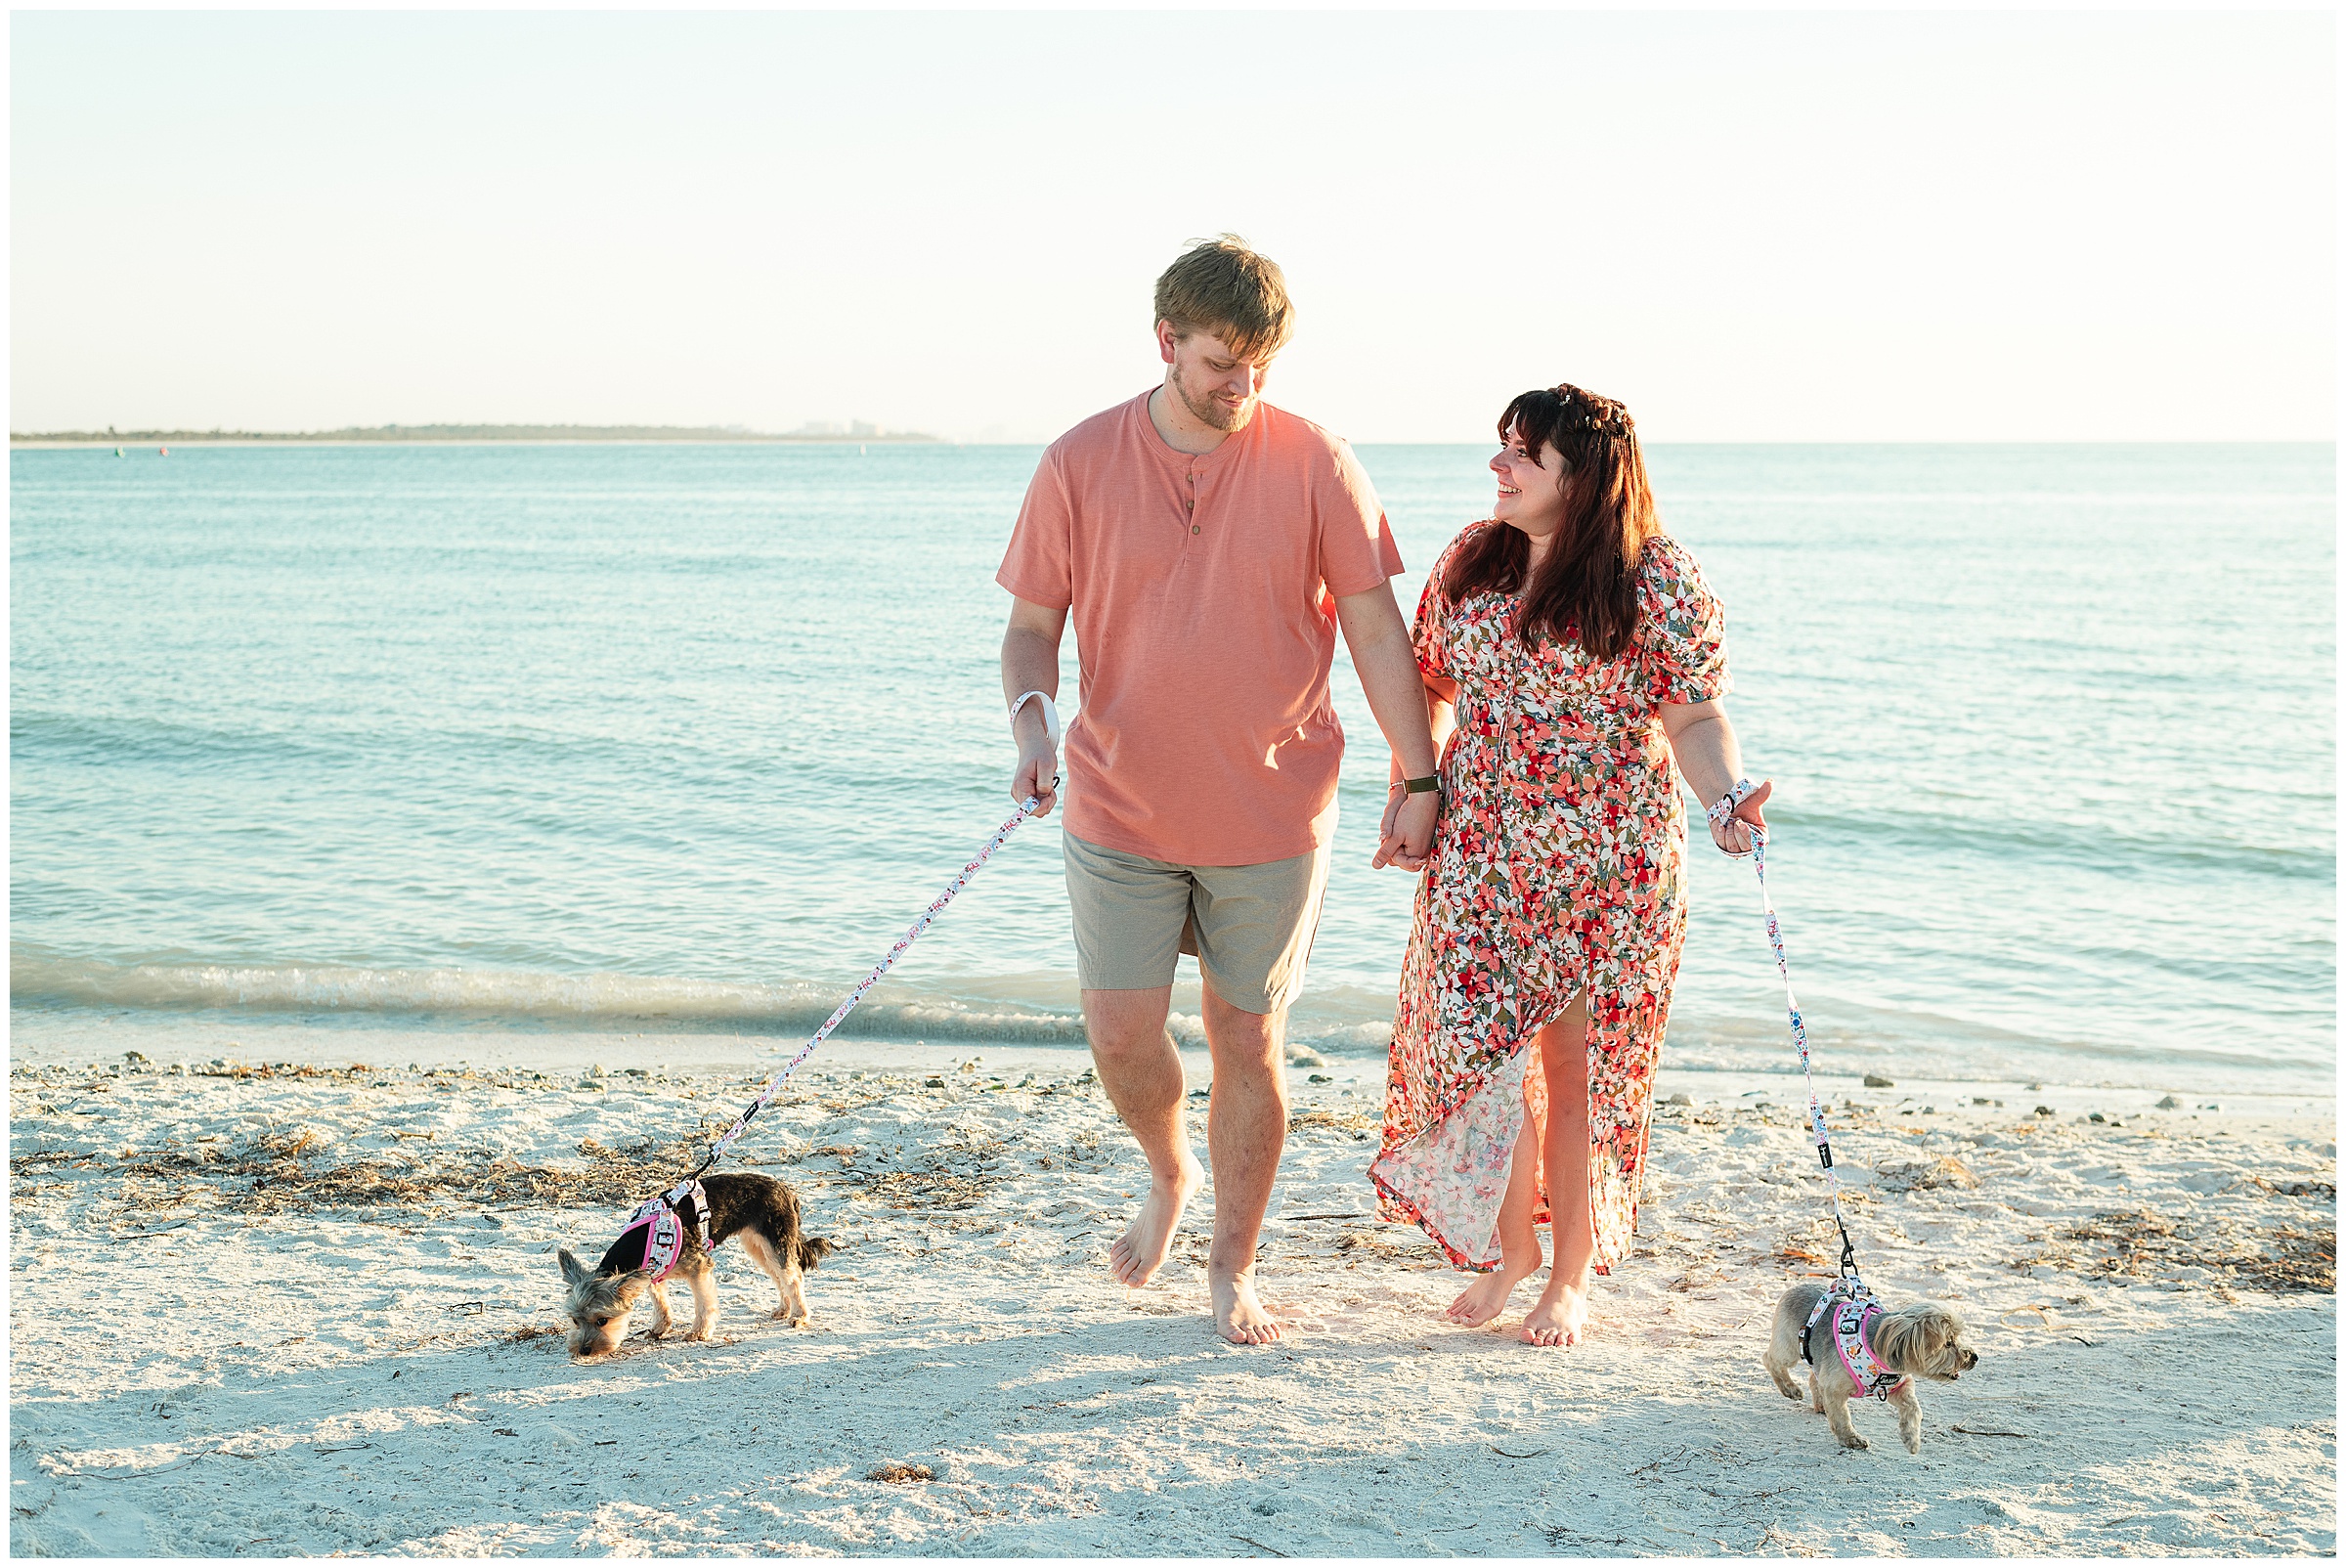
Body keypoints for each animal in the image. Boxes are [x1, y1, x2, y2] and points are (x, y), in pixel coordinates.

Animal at [558, 1168, 835, 1352]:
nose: (583, 1350)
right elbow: (661, 1304)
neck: (641, 1241)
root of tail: (786, 1190)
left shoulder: (699, 1268)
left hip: (775, 1242)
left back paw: (799, 1316)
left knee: (793, 1276)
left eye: (602, 1320)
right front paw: (659, 1329)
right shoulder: (653, 1273)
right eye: (575, 1320)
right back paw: (784, 1309)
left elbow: (704, 1304)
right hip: (757, 1245)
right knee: (780, 1276)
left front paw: (699, 1333)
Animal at [1763, 1277, 1979, 1455]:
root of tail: (1795, 1287)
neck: (1879, 1347)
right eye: (1948, 1343)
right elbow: (1842, 1417)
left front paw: (1911, 1438)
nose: (1975, 1357)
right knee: (1770, 1359)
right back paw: (1790, 1389)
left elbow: (1914, 1408)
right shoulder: (1834, 1388)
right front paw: (1851, 1439)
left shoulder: (1898, 1387)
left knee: (1814, 1377)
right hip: (1790, 1348)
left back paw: (1820, 1405)